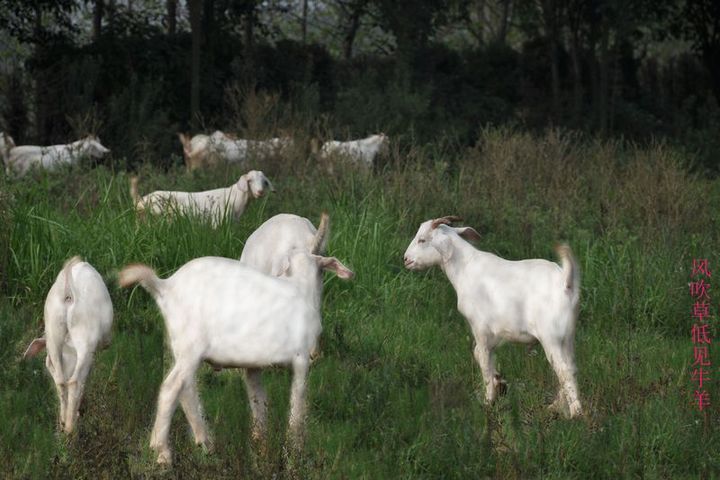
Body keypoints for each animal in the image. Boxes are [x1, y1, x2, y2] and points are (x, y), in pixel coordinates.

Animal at [23, 256, 113, 434]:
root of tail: (68, 293)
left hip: (53, 333)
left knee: (60, 380)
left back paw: (63, 422)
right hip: (85, 339)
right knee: (75, 381)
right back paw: (71, 426)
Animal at [402, 217, 584, 416]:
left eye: (422, 240)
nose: (406, 259)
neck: (464, 268)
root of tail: (566, 283)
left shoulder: (480, 327)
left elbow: (483, 357)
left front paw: (489, 400)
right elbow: (480, 354)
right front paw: (500, 382)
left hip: (550, 336)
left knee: (564, 370)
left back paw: (576, 413)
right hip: (567, 336)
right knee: (571, 367)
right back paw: (557, 406)